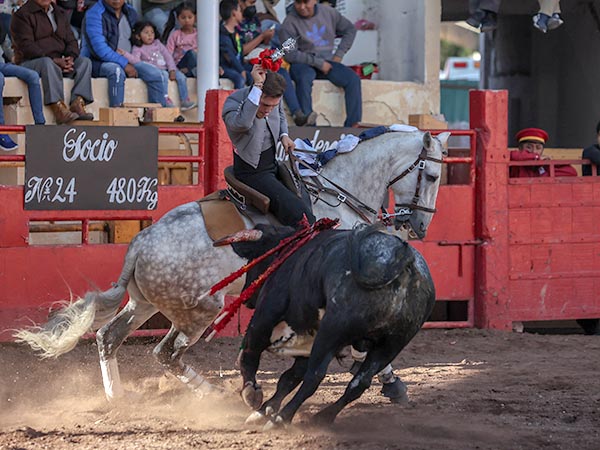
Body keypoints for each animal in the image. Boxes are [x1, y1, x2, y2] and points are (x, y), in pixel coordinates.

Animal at [14, 130, 448, 400]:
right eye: (431, 174)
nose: (421, 225)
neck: (339, 199)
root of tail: (138, 244)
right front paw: (390, 382)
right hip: (201, 311)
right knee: (166, 354)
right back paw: (215, 394)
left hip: (146, 304)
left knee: (108, 337)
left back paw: (117, 397)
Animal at [227, 225, 434, 426]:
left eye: (255, 259)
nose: (247, 298)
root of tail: (406, 261)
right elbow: (288, 378)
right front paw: (265, 409)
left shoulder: (264, 319)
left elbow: (249, 357)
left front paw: (254, 398)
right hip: (391, 344)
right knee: (358, 383)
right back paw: (322, 417)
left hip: (331, 332)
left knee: (315, 376)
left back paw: (282, 418)